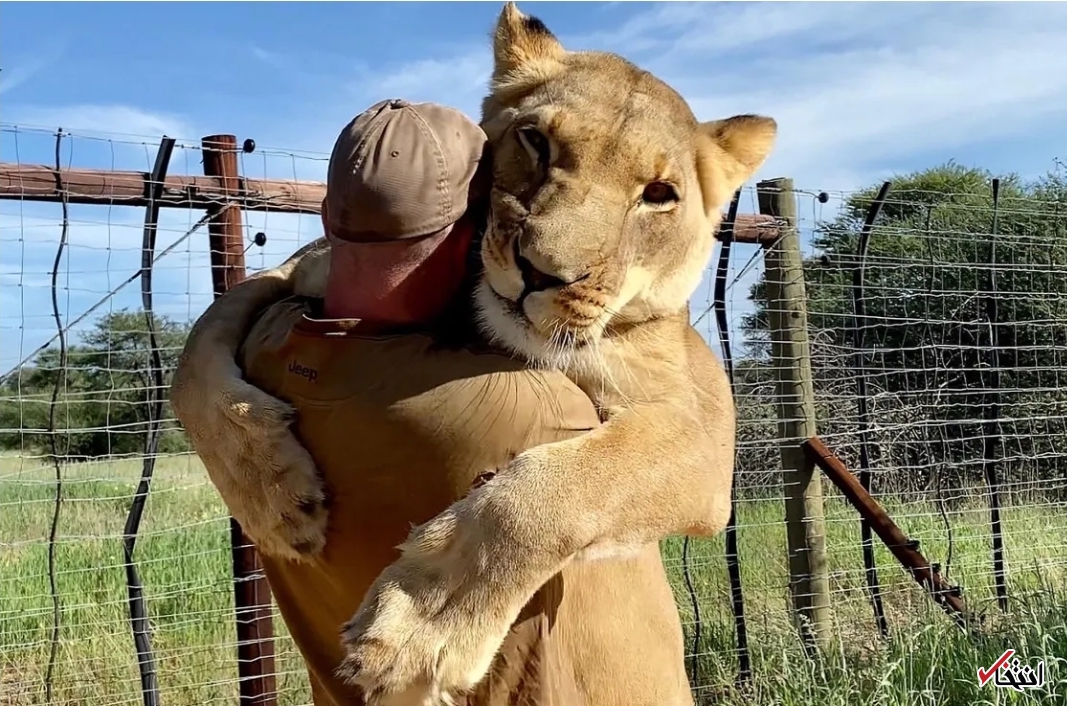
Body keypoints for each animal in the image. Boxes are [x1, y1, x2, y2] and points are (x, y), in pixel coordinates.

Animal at [170, 3, 776, 705]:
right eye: (536, 141)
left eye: (659, 194)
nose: (541, 272)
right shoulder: (296, 272)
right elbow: (196, 358)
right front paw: (274, 498)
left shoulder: (704, 433)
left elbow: (557, 488)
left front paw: (419, 624)